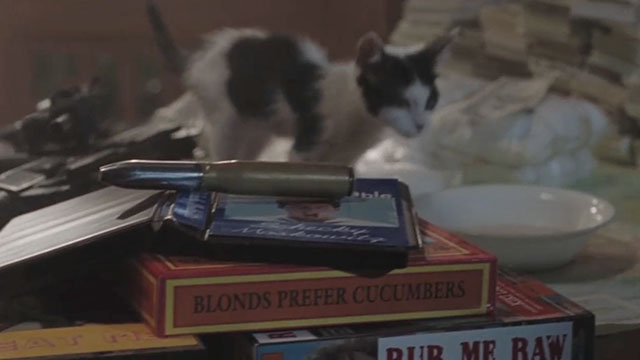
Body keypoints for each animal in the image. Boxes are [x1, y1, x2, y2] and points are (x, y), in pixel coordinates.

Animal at [148, 1, 452, 165]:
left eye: (430, 101)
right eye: (400, 100)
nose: (421, 125)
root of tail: (202, 54)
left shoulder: (346, 159)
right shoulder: (307, 143)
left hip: (258, 126)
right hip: (226, 117)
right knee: (221, 151)